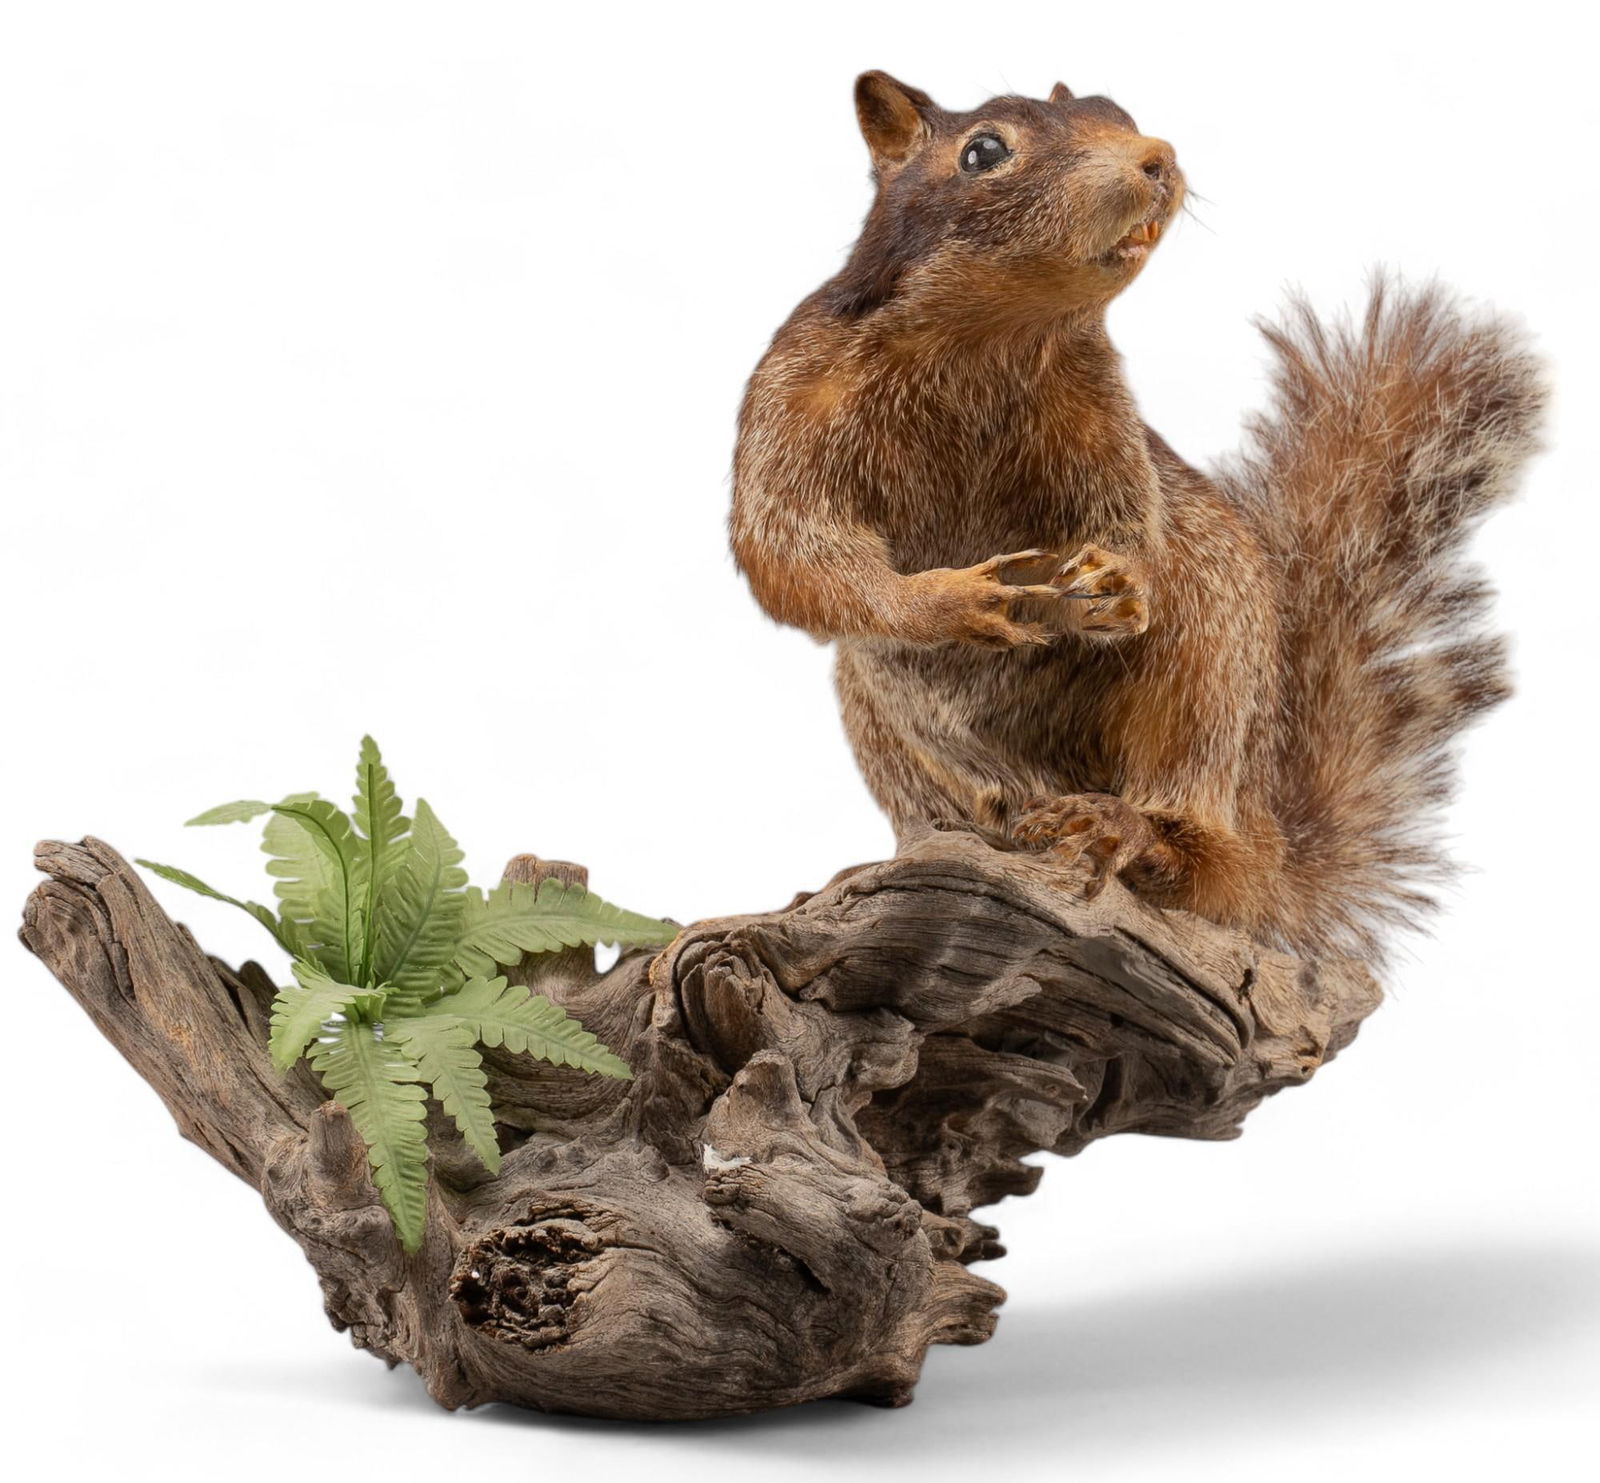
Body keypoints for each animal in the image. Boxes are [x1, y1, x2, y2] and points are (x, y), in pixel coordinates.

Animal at [730, 71, 1545, 960]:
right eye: (982, 151)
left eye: (1117, 113)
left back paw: (1128, 829)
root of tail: (1268, 842)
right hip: (881, 720)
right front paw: (954, 598)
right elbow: (786, 547)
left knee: (1199, 854)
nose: (1158, 157)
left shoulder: (1102, 411)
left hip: (1208, 671)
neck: (987, 336)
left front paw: (1124, 576)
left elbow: (1131, 511)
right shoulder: (795, 392)